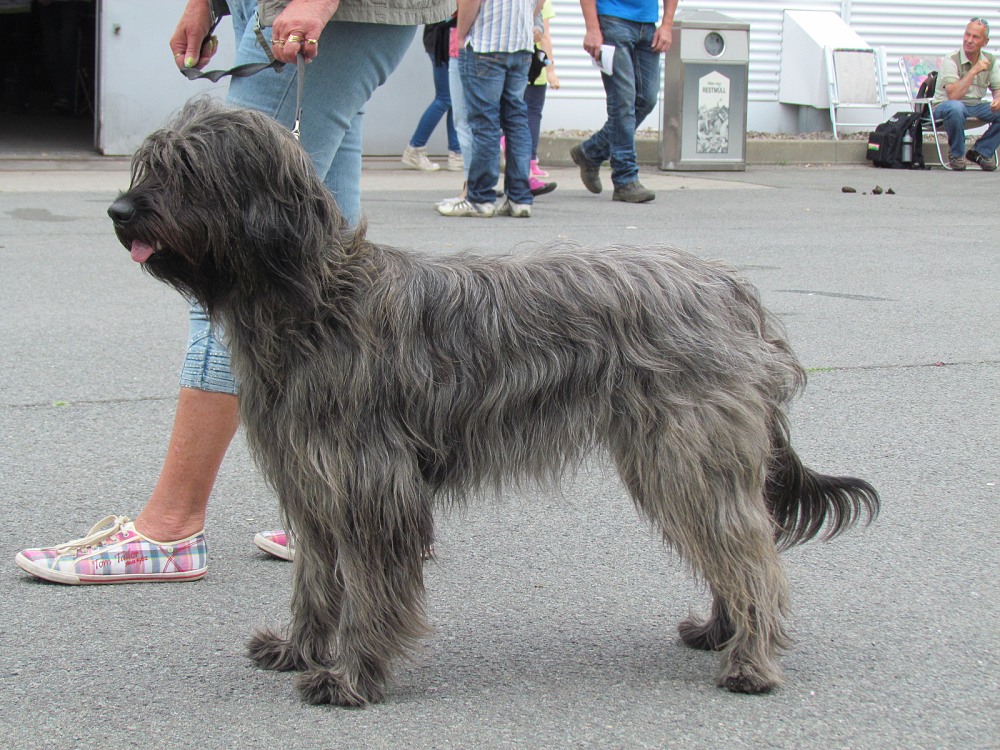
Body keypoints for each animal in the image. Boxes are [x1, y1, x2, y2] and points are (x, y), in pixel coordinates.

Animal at [105, 101, 880, 712]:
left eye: (186, 168)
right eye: (149, 162)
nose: (118, 210)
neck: (311, 297)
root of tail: (734, 291)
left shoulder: (371, 486)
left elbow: (372, 590)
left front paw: (351, 677)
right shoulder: (312, 483)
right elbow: (318, 583)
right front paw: (300, 649)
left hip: (688, 455)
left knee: (748, 553)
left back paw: (750, 660)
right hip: (676, 461)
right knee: (732, 546)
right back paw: (720, 631)